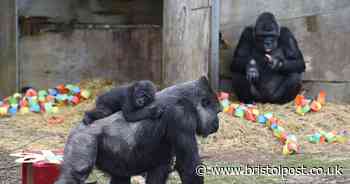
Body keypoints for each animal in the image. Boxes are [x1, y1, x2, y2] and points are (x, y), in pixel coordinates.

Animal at [54, 76, 220, 184]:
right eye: (217, 111)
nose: (217, 124)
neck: (187, 99)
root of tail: (78, 126)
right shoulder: (182, 115)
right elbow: (188, 168)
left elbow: (159, 171)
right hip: (82, 138)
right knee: (74, 175)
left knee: (119, 177)